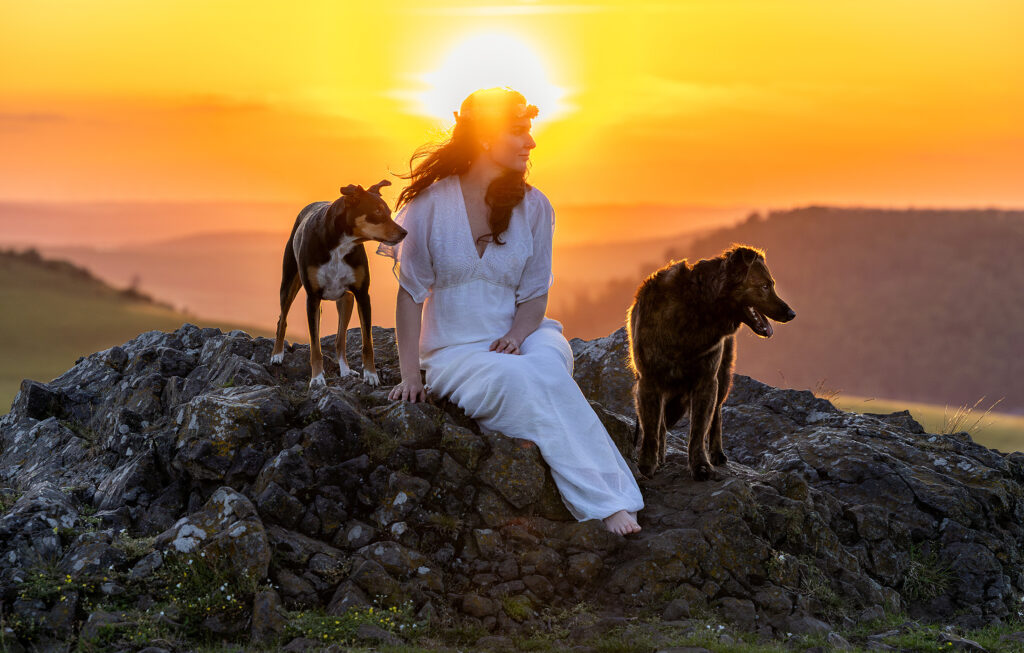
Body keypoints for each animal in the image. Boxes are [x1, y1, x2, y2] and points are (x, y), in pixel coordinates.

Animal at [272, 180, 407, 388]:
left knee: (339, 338)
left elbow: (367, 343)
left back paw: (345, 370)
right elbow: (315, 346)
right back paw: (277, 355)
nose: (404, 232)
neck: (340, 245)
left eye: (389, 211)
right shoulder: (313, 298)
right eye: (377, 211)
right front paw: (317, 378)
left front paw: (371, 375)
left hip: (346, 300)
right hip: (289, 283)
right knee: (282, 319)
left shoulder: (362, 295)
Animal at [622, 245, 798, 481]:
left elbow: (698, 430)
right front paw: (647, 466)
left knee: (717, 416)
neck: (696, 309)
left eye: (771, 285)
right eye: (764, 286)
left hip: (721, 379)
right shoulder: (649, 381)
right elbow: (651, 429)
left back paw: (717, 453)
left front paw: (700, 465)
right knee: (662, 425)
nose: (791, 313)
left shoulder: (706, 380)